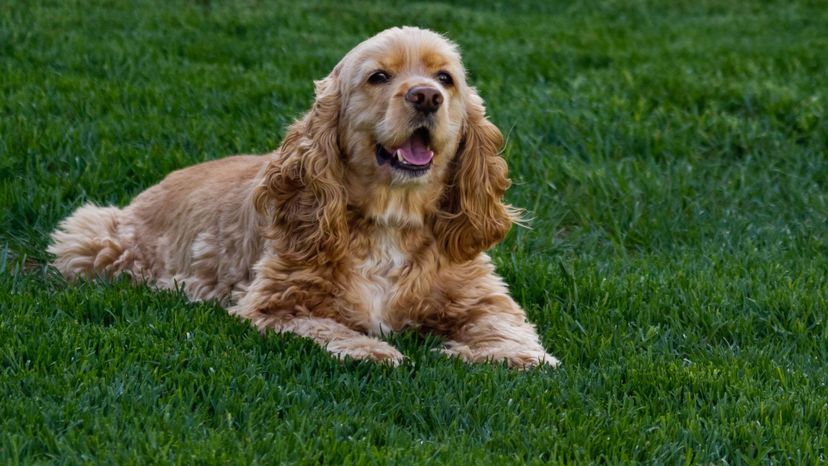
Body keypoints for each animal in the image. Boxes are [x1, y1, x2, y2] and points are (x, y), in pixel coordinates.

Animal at [48, 26, 560, 368]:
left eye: (445, 78)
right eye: (378, 77)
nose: (426, 96)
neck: (391, 219)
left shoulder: (481, 295)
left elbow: (508, 327)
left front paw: (508, 356)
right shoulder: (276, 302)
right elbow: (327, 326)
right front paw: (375, 350)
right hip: (95, 240)